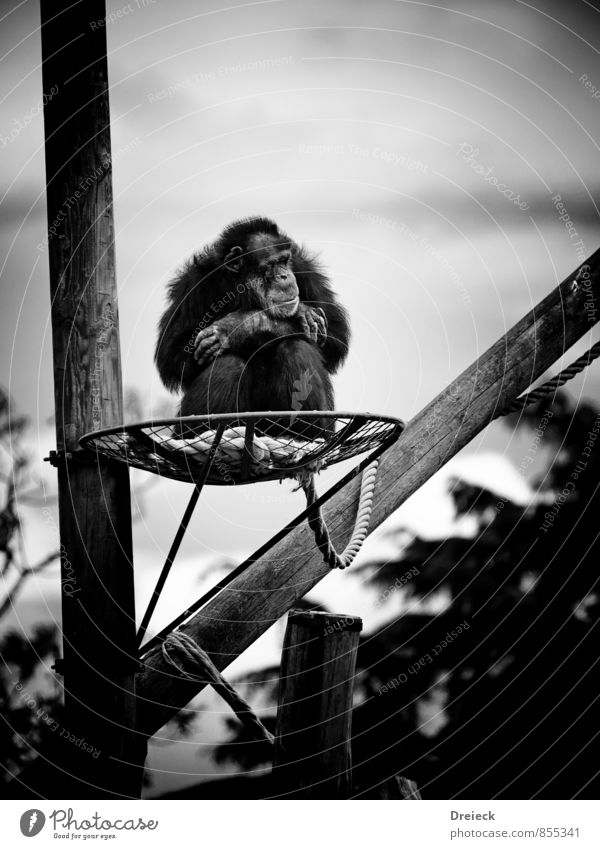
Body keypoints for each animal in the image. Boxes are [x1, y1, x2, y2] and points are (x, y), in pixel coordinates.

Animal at [155, 215, 350, 434]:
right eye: (272, 264)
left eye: (284, 260)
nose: (284, 275)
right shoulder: (193, 284)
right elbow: (172, 356)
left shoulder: (303, 268)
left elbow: (336, 335)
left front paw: (238, 326)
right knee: (227, 363)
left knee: (296, 348)